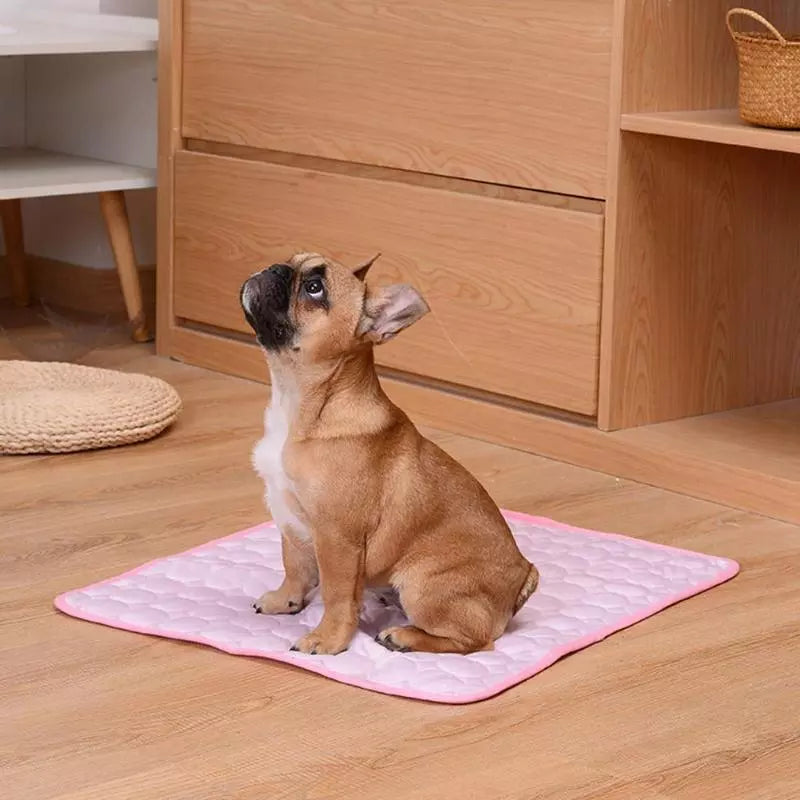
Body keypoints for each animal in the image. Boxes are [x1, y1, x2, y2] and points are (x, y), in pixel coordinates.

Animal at [238, 253, 536, 652]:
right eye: (289, 261)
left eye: (314, 288)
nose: (275, 268)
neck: (306, 403)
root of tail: (523, 577)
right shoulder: (289, 517)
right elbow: (295, 565)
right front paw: (285, 599)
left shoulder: (338, 539)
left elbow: (336, 594)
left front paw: (327, 639)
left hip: (422, 584)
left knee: (474, 641)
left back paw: (403, 635)